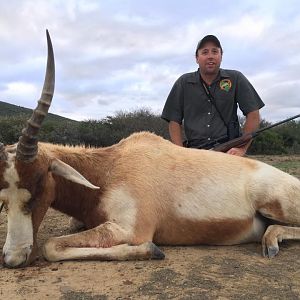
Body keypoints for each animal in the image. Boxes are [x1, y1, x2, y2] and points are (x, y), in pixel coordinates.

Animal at [0, 31, 300, 268]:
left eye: (37, 190)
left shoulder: (129, 229)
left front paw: (151, 250)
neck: (109, 169)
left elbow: (51, 246)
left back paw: (271, 241)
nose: (13, 259)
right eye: (3, 200)